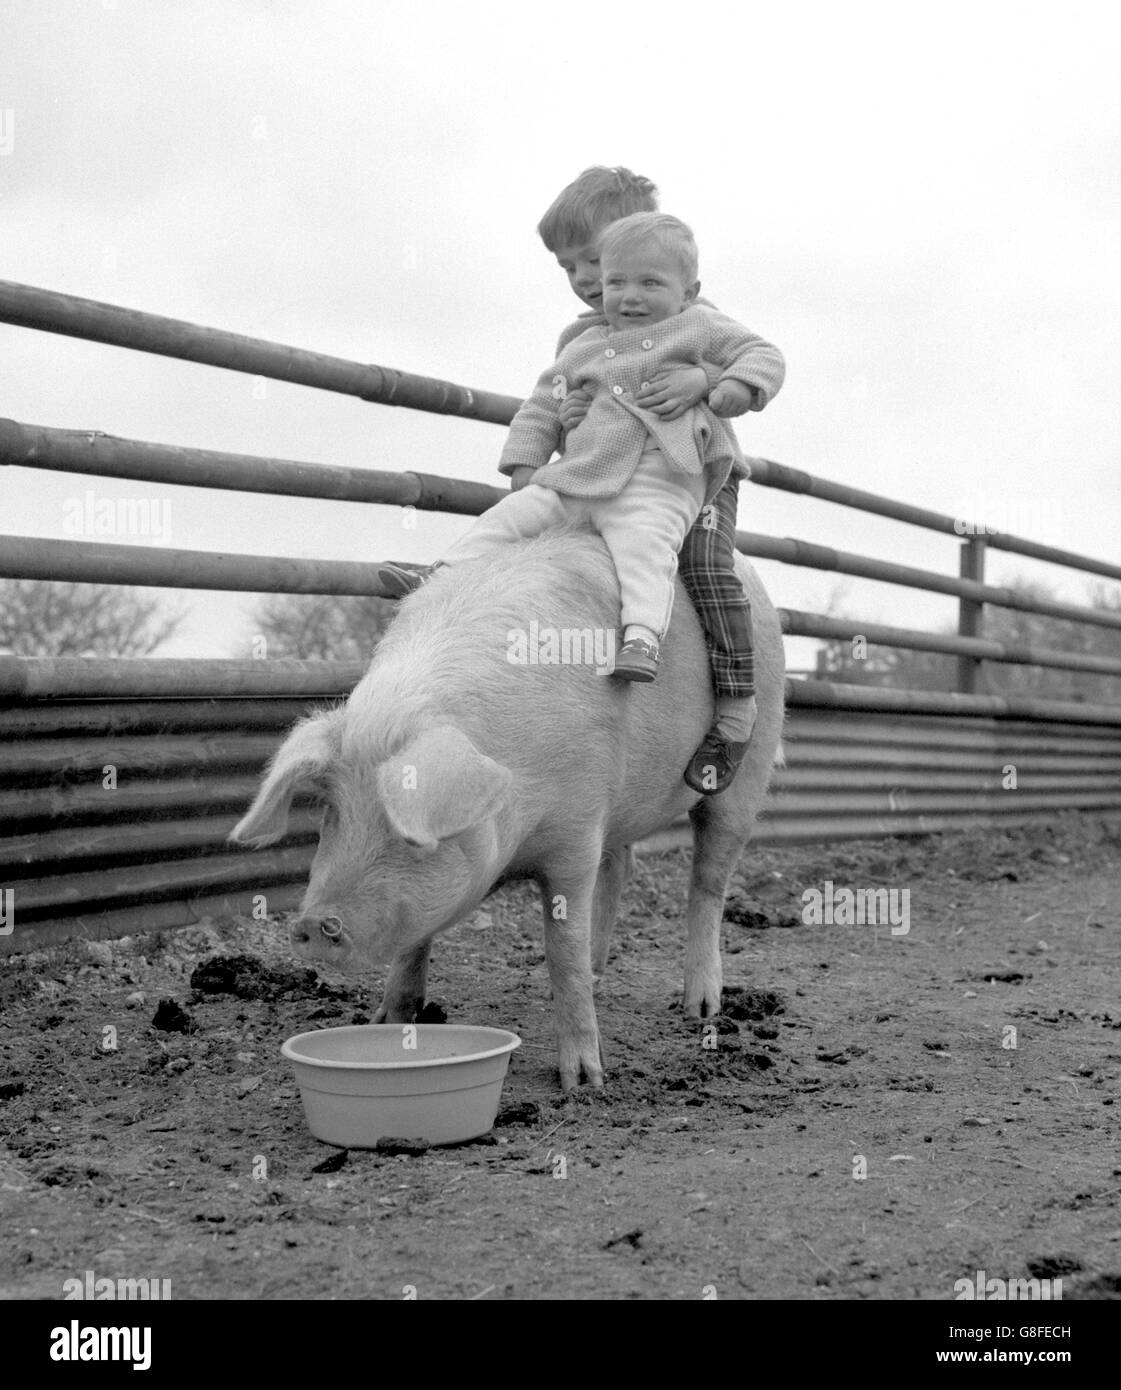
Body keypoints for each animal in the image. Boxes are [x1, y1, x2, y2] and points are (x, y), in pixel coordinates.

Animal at [230, 522, 784, 1089]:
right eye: (333, 811)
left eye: (407, 832)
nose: (313, 923)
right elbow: (416, 942)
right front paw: (386, 1022)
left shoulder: (578, 829)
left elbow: (561, 947)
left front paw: (583, 1081)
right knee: (622, 865)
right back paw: (601, 973)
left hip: (746, 769)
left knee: (708, 883)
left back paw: (700, 1008)